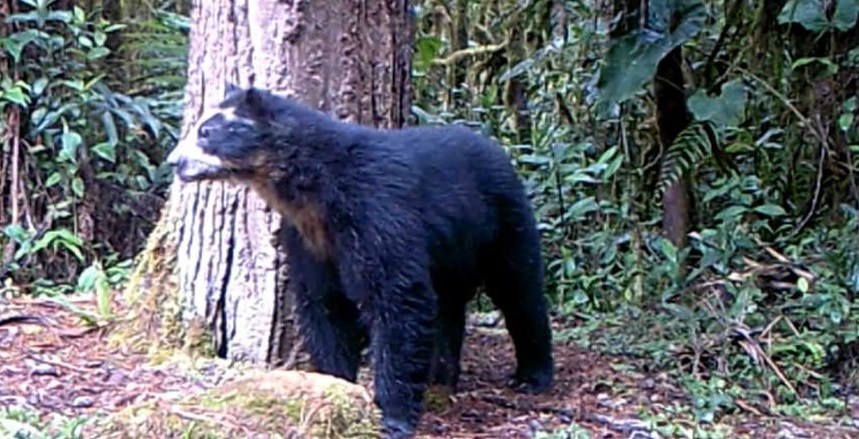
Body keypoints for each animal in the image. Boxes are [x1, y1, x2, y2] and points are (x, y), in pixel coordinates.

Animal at [167, 86, 556, 439]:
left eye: (207, 131)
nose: (174, 161)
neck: (315, 193)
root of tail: (496, 148)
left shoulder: (378, 215)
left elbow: (396, 300)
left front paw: (393, 416)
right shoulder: (308, 238)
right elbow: (324, 305)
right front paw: (336, 384)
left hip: (504, 222)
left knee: (519, 290)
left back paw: (531, 374)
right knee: (448, 308)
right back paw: (442, 375)